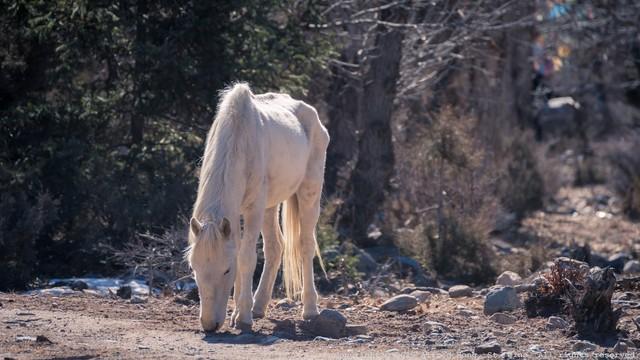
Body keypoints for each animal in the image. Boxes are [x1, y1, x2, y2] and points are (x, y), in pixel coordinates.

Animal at [182, 82, 328, 332]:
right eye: (194, 268)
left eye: (226, 270)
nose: (210, 325)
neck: (239, 141)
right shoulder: (234, 216)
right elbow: (241, 251)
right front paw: (239, 313)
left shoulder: (253, 210)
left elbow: (246, 258)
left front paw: (243, 317)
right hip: (271, 206)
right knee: (275, 247)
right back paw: (259, 306)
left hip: (309, 191)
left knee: (306, 245)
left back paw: (310, 309)